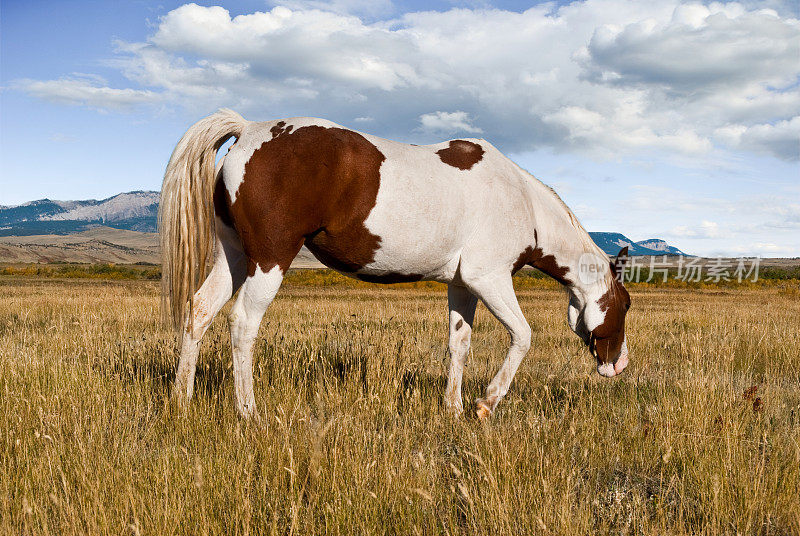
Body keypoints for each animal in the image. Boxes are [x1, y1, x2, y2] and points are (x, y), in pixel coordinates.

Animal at [161, 109, 632, 418]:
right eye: (625, 306)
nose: (619, 365)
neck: (521, 200)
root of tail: (248, 130)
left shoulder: (462, 285)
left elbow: (459, 345)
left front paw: (453, 409)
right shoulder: (489, 279)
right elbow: (523, 336)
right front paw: (485, 404)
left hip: (235, 256)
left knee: (200, 311)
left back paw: (182, 401)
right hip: (270, 259)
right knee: (242, 323)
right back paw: (249, 413)